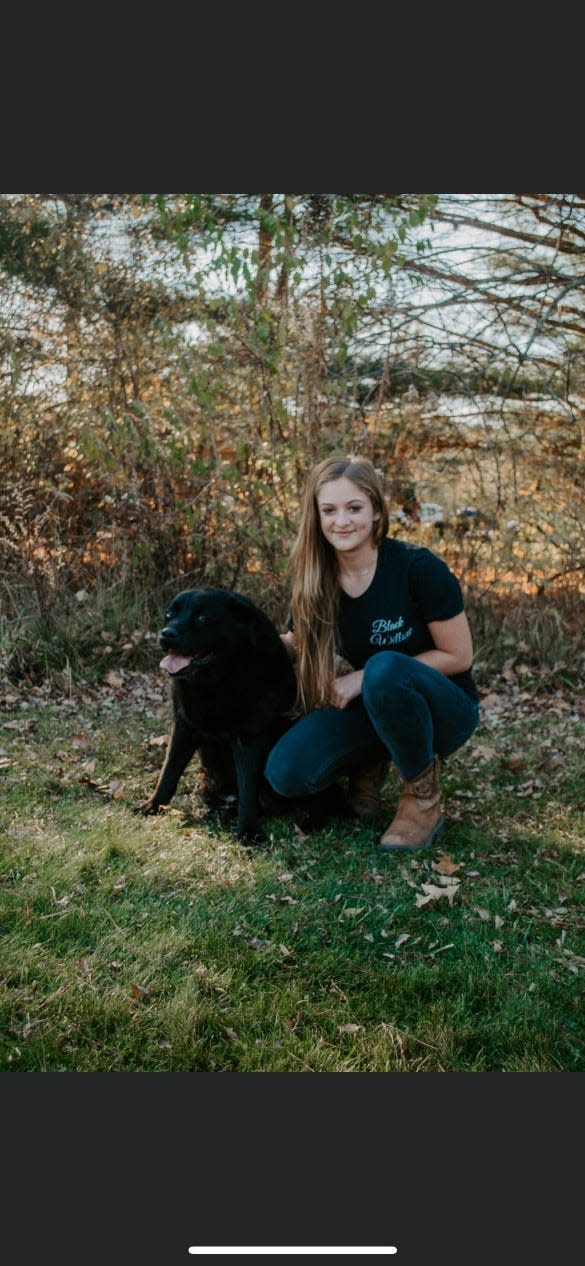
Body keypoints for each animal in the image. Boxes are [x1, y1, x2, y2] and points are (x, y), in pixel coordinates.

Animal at [139, 589, 297, 840]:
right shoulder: (184, 725)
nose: (166, 634)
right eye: (169, 614)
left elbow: (247, 789)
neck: (218, 681)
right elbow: (168, 772)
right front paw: (152, 806)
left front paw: (248, 832)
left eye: (202, 618)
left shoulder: (249, 737)